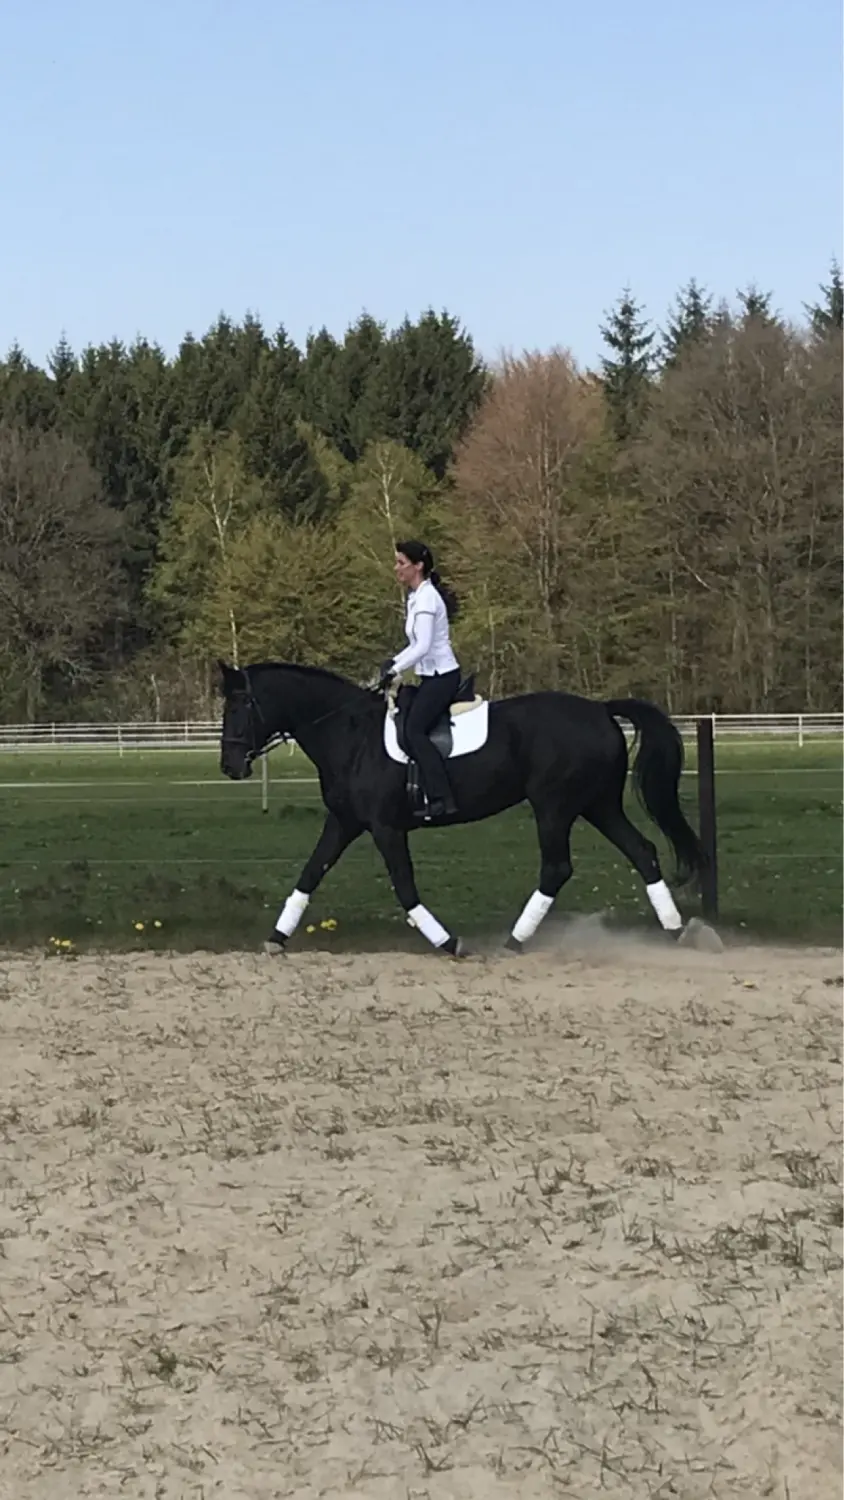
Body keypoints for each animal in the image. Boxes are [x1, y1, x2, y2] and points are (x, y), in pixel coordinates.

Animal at [217, 660, 707, 960]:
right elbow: (310, 874)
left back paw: (514, 942)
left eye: (240, 706)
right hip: (597, 805)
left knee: (557, 868)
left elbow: (405, 887)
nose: (230, 766)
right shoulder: (345, 822)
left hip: (554, 806)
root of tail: (601, 711)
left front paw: (449, 943)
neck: (350, 735)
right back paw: (677, 932)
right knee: (642, 852)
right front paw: (275, 940)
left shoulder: (385, 827)